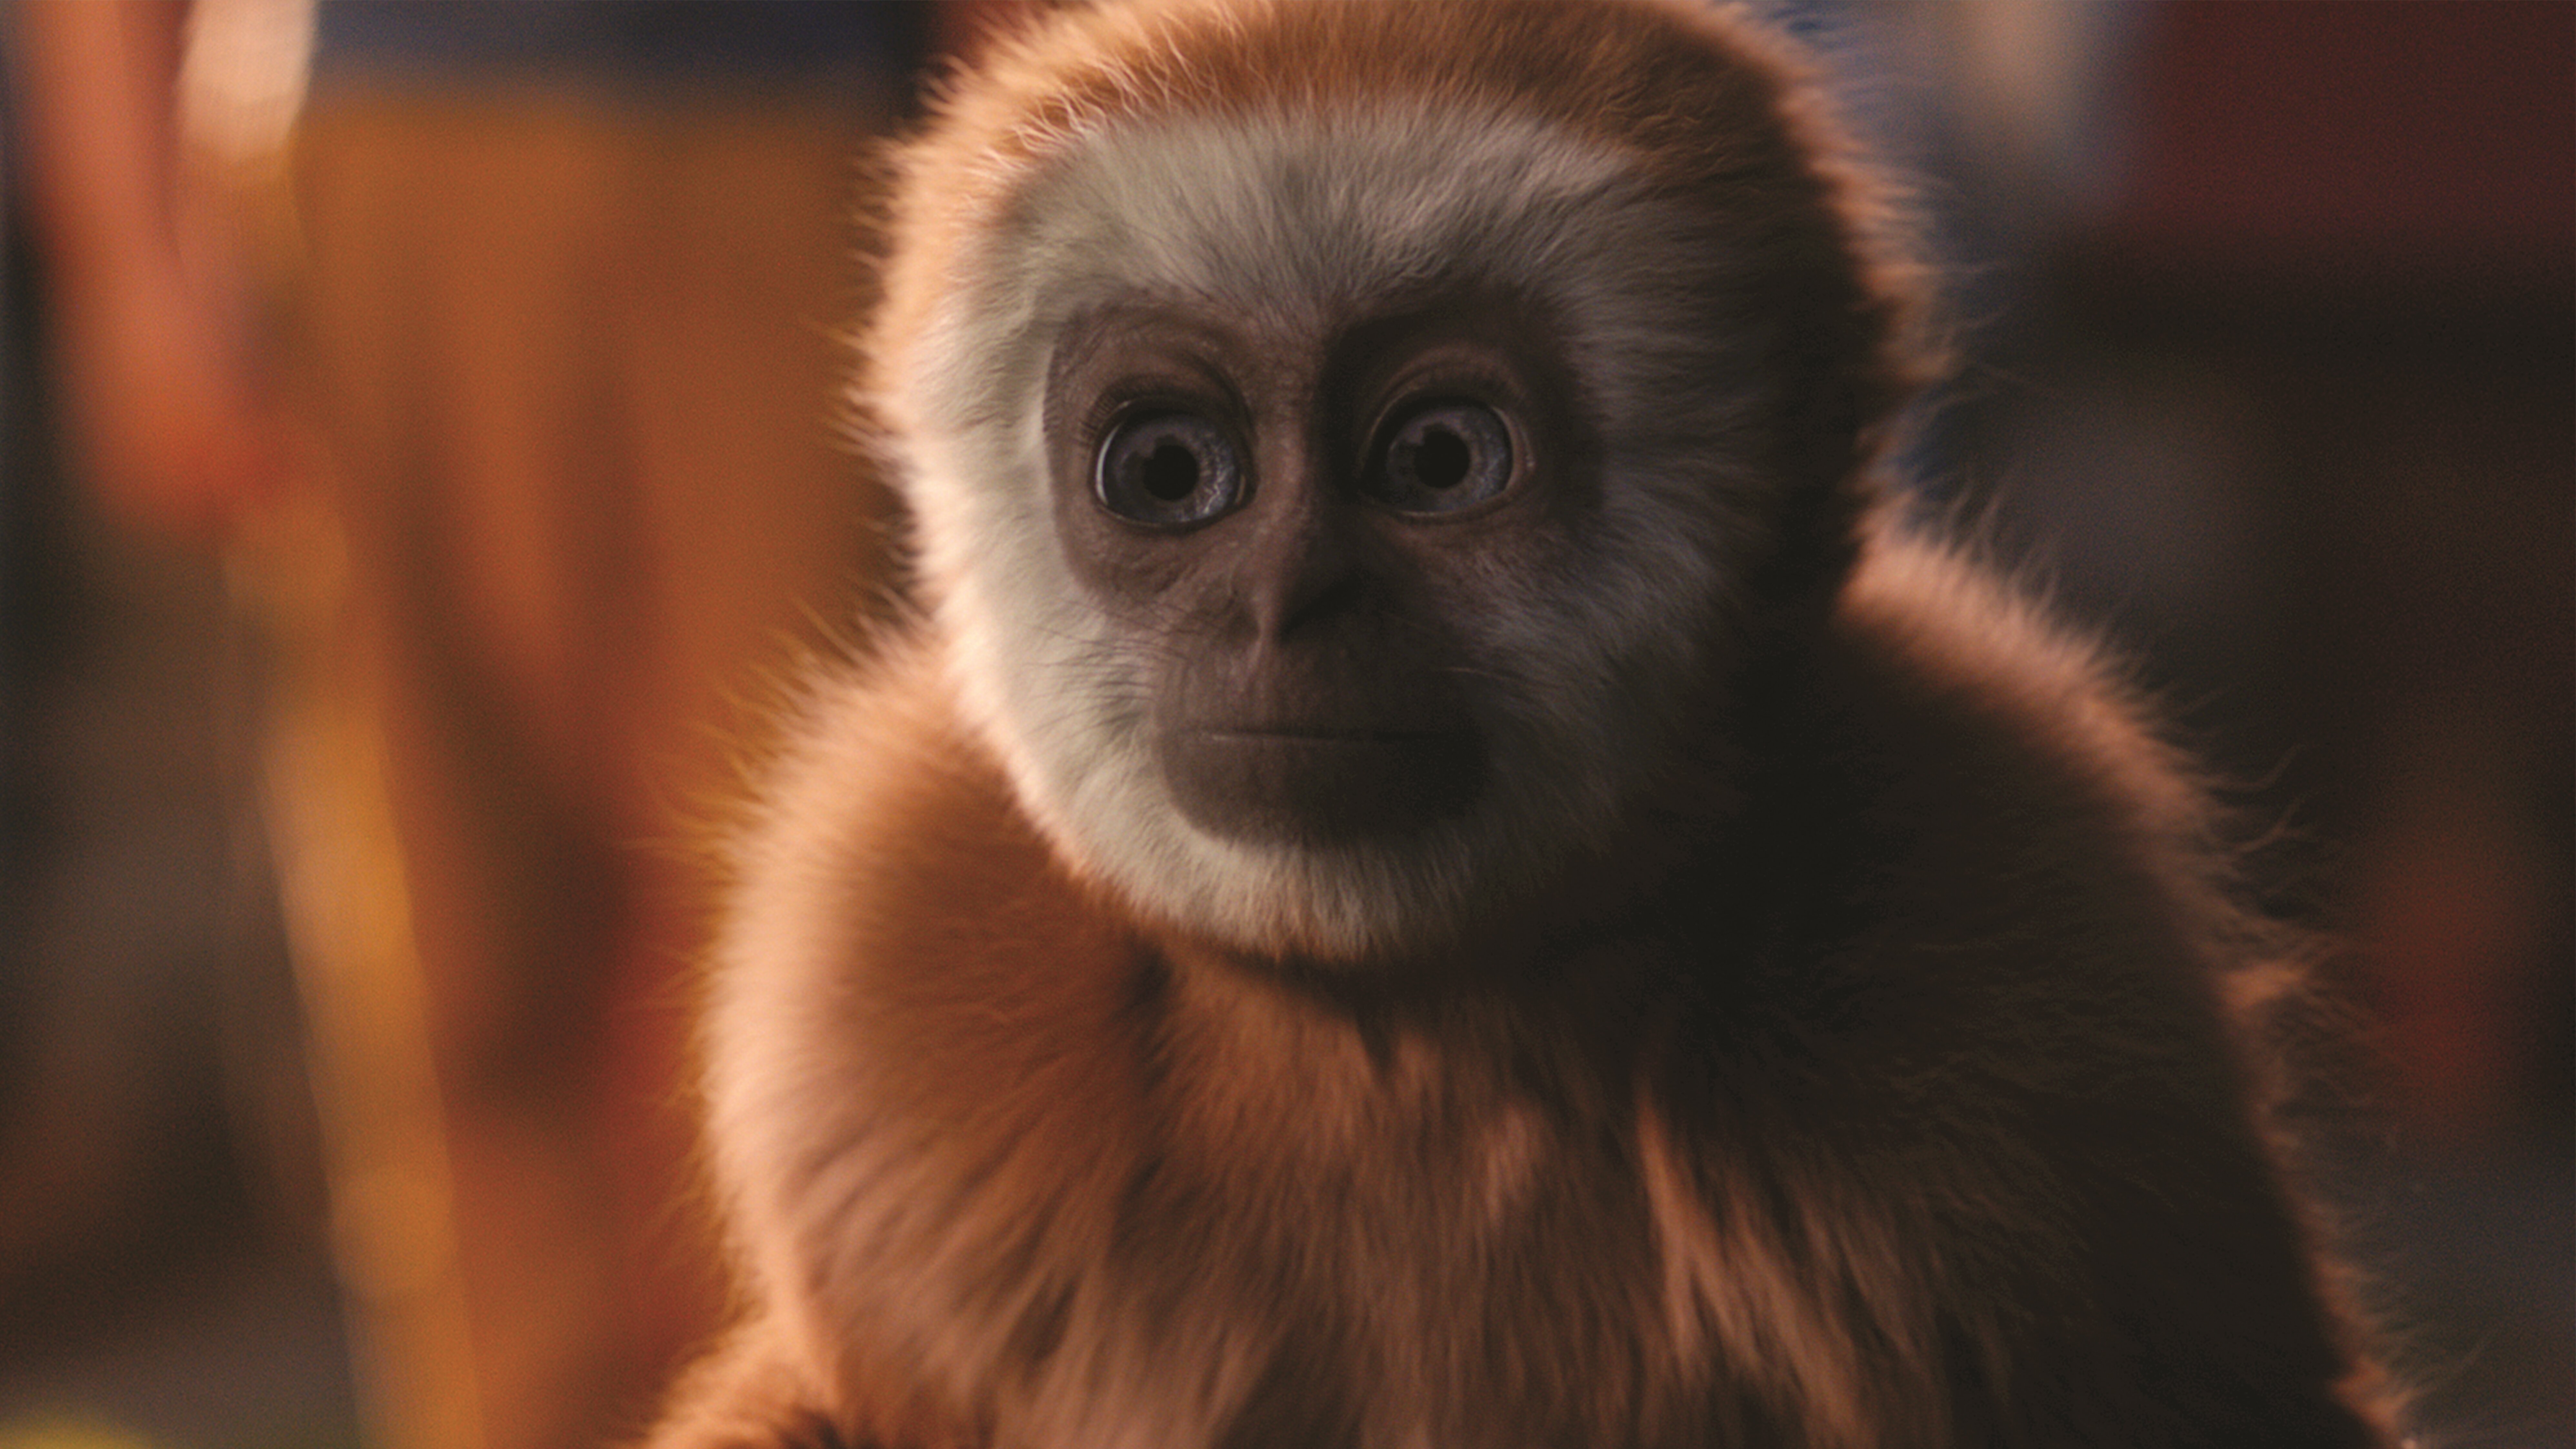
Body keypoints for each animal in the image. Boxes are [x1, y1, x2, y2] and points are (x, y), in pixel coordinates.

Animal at [645, 1, 2401, 1445]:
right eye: (1167, 469)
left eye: (1437, 457)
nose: (1286, 602)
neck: (1405, 1044)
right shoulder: (880, 967)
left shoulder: (2043, 964)